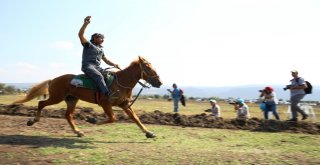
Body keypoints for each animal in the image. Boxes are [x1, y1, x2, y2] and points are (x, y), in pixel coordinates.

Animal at [11, 56, 162, 138]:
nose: (160, 82)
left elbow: (135, 118)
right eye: (149, 68)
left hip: (71, 99)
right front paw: (92, 119)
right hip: (56, 98)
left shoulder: (124, 104)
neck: (121, 82)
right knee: (41, 103)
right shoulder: (105, 104)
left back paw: (78, 132)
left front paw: (148, 133)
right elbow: (113, 118)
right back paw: (32, 121)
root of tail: (53, 79)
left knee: (68, 115)